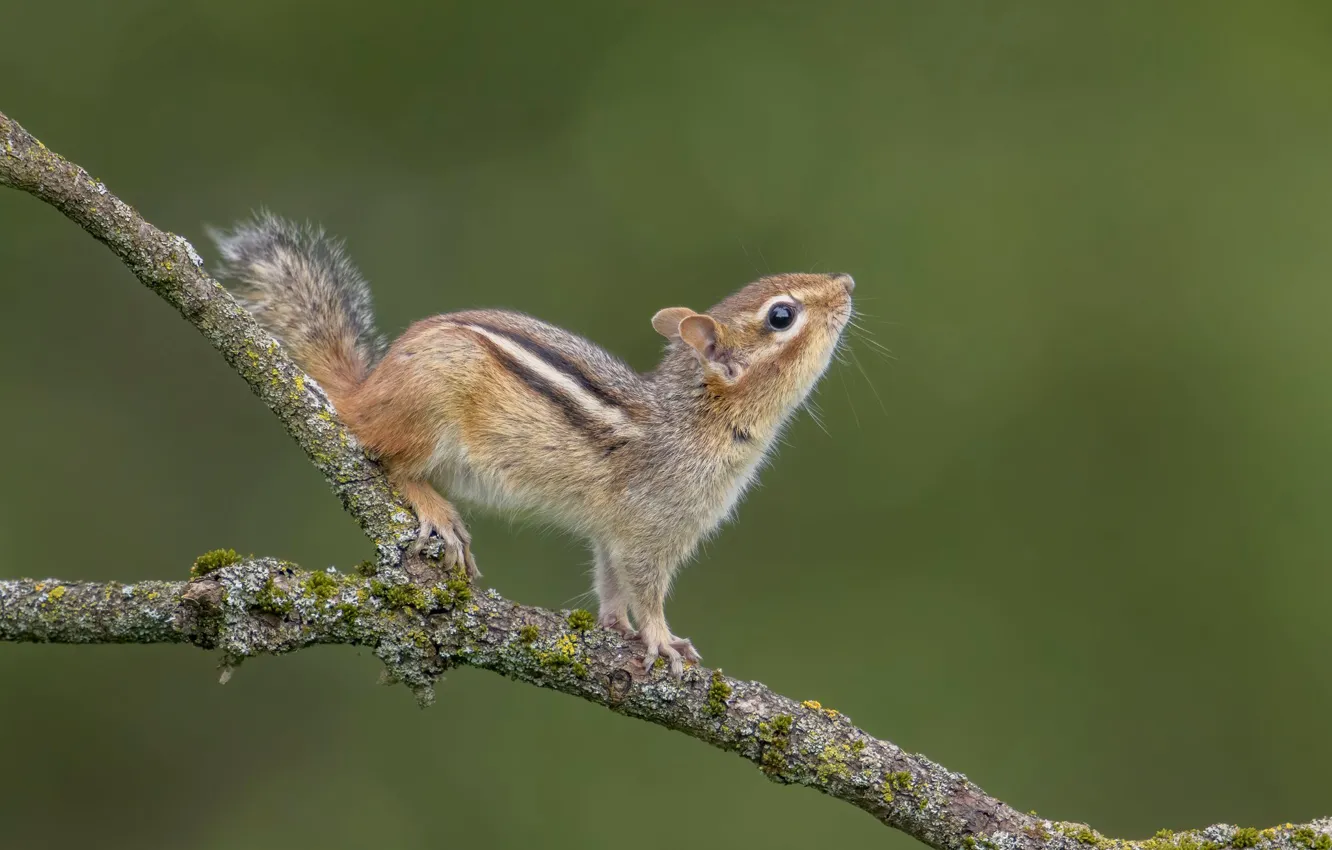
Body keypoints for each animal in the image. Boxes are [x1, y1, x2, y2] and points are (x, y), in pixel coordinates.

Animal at [209, 213, 854, 674]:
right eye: (781, 316)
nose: (847, 281)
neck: (695, 419)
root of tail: (364, 393)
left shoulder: (616, 531)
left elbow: (610, 579)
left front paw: (616, 627)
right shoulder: (652, 530)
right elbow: (646, 590)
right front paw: (662, 639)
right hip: (428, 411)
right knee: (388, 460)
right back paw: (435, 509)